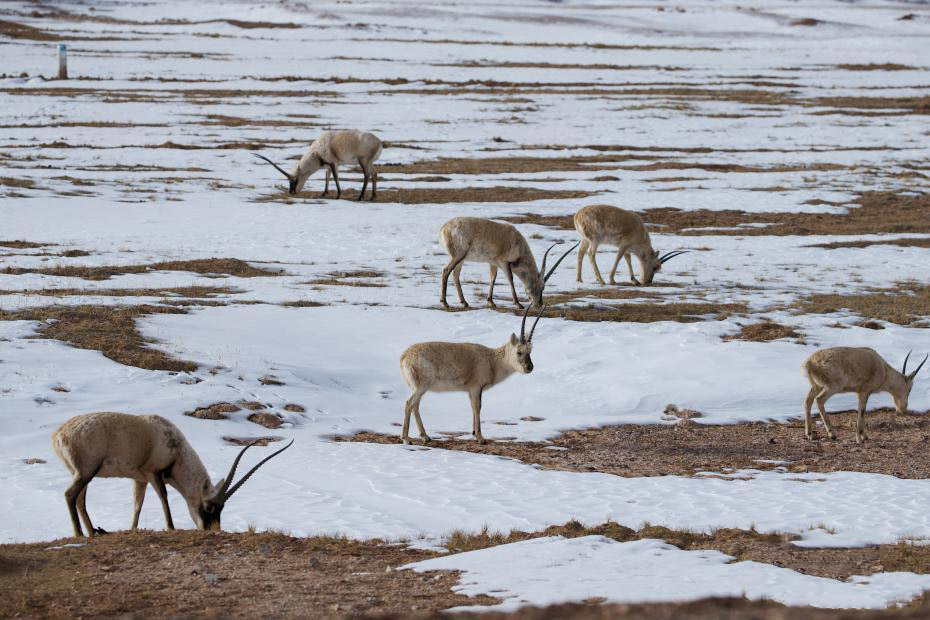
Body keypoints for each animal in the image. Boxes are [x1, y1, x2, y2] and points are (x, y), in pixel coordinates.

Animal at [49, 412, 294, 536]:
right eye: (210, 508)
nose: (211, 530)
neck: (177, 450)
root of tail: (59, 435)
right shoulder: (153, 472)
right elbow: (164, 498)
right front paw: (171, 527)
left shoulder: (139, 479)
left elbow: (137, 504)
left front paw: (133, 529)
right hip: (86, 471)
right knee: (70, 495)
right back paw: (79, 534)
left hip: (84, 474)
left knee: (79, 500)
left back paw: (93, 532)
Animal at [250, 130, 380, 200]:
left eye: (294, 180)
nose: (292, 192)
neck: (316, 151)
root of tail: (379, 142)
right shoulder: (329, 165)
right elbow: (327, 177)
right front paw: (324, 193)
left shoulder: (332, 163)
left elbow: (335, 178)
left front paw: (338, 195)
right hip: (370, 162)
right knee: (374, 174)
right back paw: (373, 196)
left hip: (363, 161)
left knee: (367, 175)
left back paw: (360, 197)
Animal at [396, 302, 544, 444]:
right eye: (519, 352)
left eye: (530, 351)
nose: (529, 367)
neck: (492, 360)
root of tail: (404, 356)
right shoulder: (475, 387)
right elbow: (477, 407)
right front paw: (480, 438)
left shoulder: (471, 390)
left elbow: (473, 407)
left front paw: (473, 433)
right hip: (421, 387)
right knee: (409, 404)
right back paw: (406, 439)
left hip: (419, 388)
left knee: (415, 406)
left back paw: (425, 436)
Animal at [438, 216, 576, 310]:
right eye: (541, 287)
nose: (539, 304)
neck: (518, 243)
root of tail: (444, 228)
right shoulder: (504, 262)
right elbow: (510, 278)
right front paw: (518, 304)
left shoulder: (493, 262)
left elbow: (493, 278)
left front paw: (491, 301)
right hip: (458, 255)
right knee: (446, 270)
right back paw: (445, 303)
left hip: (461, 259)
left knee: (455, 274)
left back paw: (464, 302)